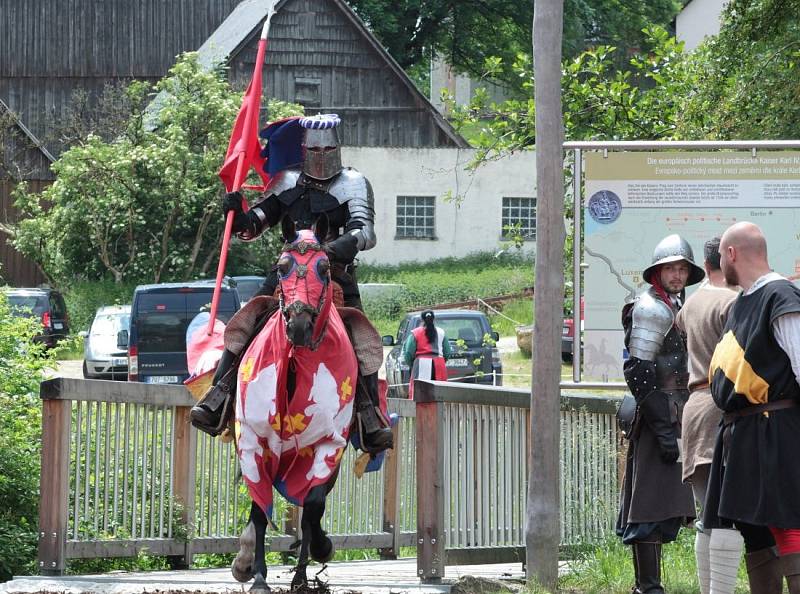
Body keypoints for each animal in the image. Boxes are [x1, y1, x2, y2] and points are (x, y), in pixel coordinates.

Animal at [230, 217, 358, 592]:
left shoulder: (329, 444)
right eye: (282, 267)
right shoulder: (254, 441)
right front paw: (258, 574)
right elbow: (260, 509)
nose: (299, 324)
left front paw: (312, 560)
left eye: (325, 267)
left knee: (312, 507)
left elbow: (312, 507)